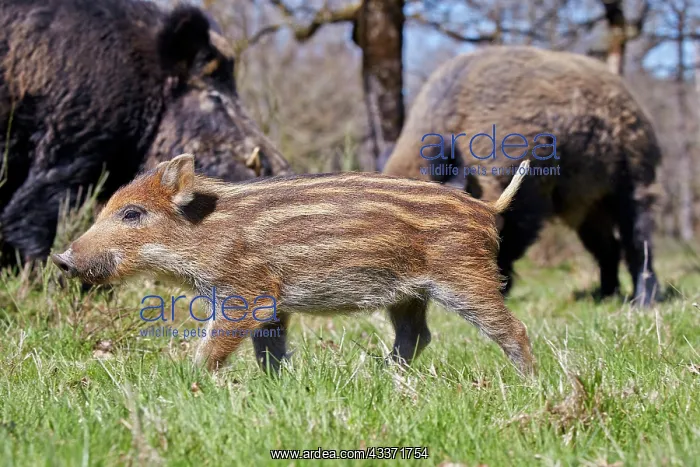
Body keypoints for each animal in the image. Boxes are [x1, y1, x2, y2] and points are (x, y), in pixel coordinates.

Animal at [51, 153, 535, 377]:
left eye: (132, 214)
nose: (61, 259)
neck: (205, 232)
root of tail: (487, 209)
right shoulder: (273, 304)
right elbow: (268, 349)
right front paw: (275, 384)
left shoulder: (246, 292)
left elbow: (216, 345)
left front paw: (188, 381)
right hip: (408, 294)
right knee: (416, 336)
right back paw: (380, 375)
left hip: (464, 277)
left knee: (512, 328)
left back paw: (529, 382)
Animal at [382, 45, 662, 307]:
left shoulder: (530, 196)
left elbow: (508, 244)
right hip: (586, 207)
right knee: (608, 247)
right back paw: (605, 297)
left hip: (635, 176)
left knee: (638, 239)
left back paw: (644, 302)